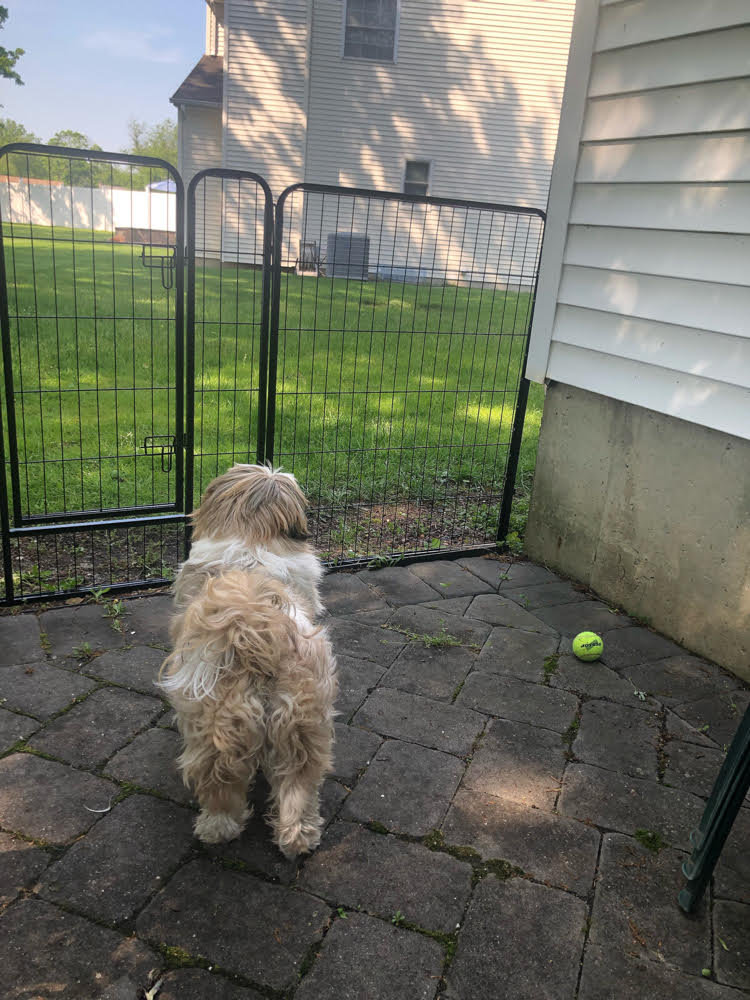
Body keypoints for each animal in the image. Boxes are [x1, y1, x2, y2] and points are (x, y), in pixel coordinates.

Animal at [162, 464, 338, 856]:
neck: (252, 541)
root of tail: (252, 625)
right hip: (301, 722)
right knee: (297, 783)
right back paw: (298, 836)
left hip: (217, 724)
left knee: (220, 782)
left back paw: (217, 827)